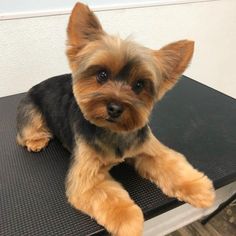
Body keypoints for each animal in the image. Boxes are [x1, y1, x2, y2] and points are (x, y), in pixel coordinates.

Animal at [16, 2, 216, 236]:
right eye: (102, 75)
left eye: (139, 85)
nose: (115, 108)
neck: (114, 132)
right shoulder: (87, 176)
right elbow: (107, 195)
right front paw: (128, 220)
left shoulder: (148, 148)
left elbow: (172, 163)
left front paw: (199, 188)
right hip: (31, 110)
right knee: (28, 131)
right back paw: (36, 140)